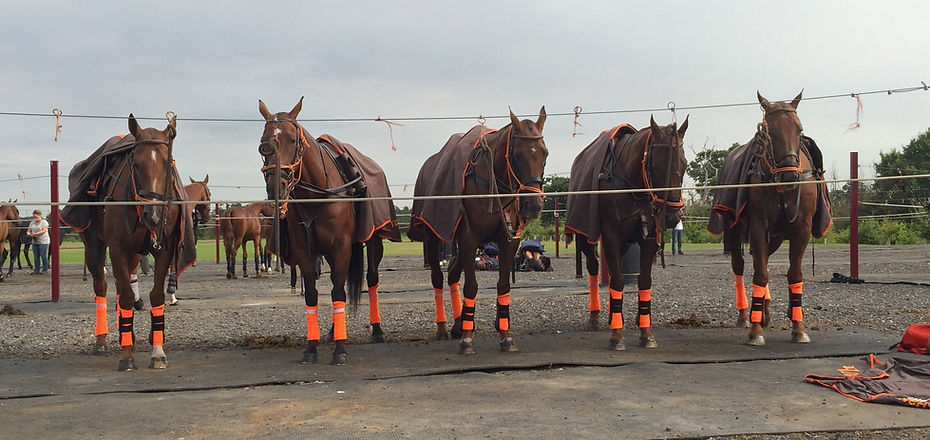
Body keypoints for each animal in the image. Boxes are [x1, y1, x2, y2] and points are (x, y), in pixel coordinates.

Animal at [63, 113, 196, 371]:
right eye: (136, 164)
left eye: (167, 163)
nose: (153, 215)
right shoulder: (117, 248)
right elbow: (124, 296)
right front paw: (126, 356)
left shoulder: (163, 248)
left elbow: (155, 295)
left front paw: (157, 351)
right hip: (94, 244)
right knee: (102, 286)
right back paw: (103, 340)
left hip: (134, 253)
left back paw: (130, 336)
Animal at [257, 97, 399, 364]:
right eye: (263, 142)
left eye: (292, 140)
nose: (276, 185)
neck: (317, 195)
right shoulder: (305, 251)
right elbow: (314, 295)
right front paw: (311, 347)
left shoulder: (341, 247)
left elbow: (338, 293)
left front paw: (340, 350)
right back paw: (335, 330)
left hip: (374, 240)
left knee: (371, 280)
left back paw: (376, 330)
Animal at [408, 107, 548, 354]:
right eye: (517, 155)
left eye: (545, 154)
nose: (533, 205)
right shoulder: (469, 238)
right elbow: (471, 287)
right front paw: (467, 340)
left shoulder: (508, 241)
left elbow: (503, 285)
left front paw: (504, 335)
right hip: (434, 237)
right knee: (438, 278)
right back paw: (444, 327)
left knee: (453, 274)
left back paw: (459, 324)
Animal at [565, 116, 689, 350]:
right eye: (656, 164)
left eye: (685, 165)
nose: (671, 216)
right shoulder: (612, 236)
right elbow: (618, 281)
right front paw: (617, 335)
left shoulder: (649, 238)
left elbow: (643, 281)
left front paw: (646, 332)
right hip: (586, 236)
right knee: (594, 268)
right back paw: (596, 316)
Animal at [711, 91, 829, 346]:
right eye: (768, 132)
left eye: (799, 129)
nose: (789, 175)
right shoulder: (757, 225)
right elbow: (759, 273)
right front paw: (755, 330)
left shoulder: (802, 228)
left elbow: (793, 274)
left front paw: (798, 327)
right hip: (736, 230)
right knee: (741, 266)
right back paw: (746, 315)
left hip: (774, 237)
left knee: (762, 261)